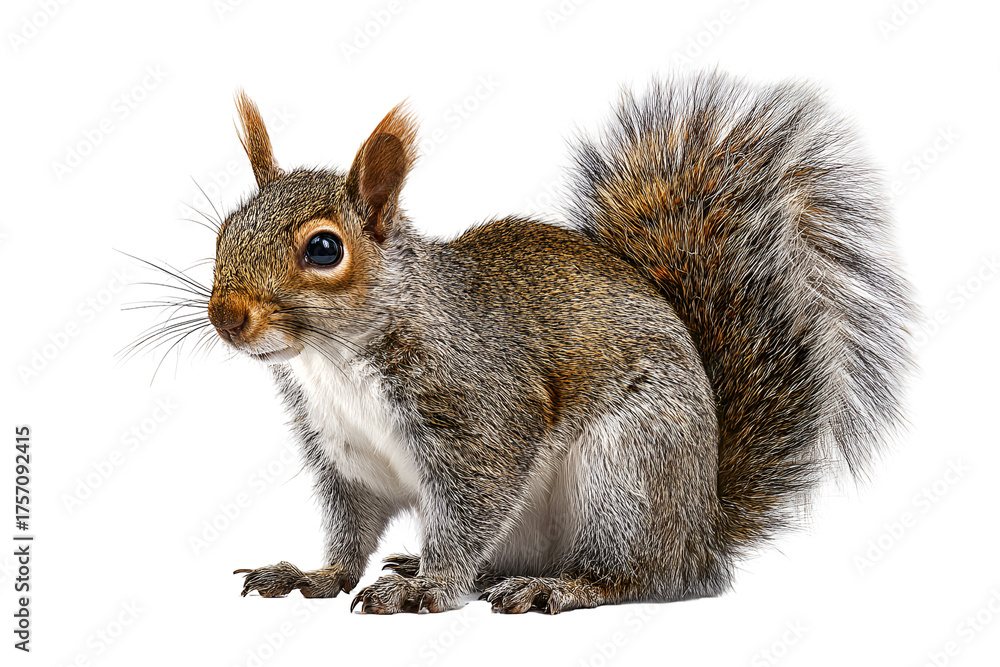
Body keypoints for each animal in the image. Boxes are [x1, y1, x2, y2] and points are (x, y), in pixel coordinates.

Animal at [208, 72, 915, 614]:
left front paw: (429, 589)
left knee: (639, 576)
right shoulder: (347, 453)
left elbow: (470, 510)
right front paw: (317, 576)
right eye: (224, 231)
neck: (335, 361)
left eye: (324, 249)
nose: (225, 316)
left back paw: (559, 587)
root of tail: (701, 532)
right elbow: (351, 529)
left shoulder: (483, 413)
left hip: (627, 472)